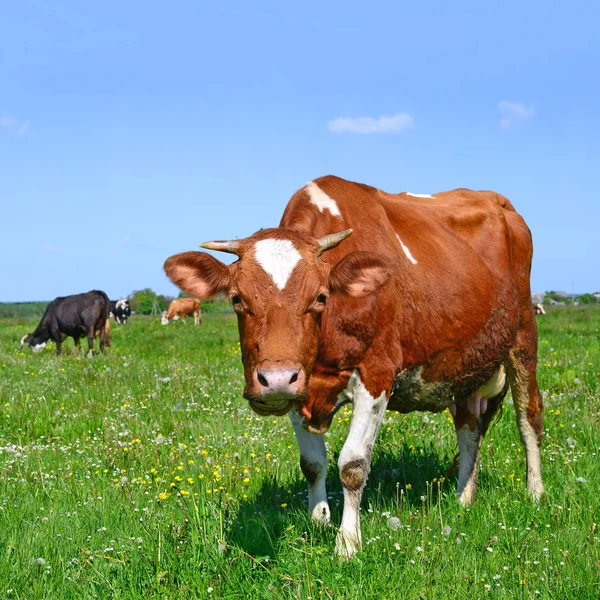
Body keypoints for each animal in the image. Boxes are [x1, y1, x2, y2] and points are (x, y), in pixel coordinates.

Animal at [164, 175, 544, 556]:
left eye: (320, 297)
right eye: (236, 299)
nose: (275, 379)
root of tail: (501, 203)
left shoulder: (376, 375)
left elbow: (353, 465)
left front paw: (347, 543)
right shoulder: (300, 386)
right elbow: (312, 464)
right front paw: (318, 520)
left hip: (523, 337)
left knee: (528, 417)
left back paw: (535, 493)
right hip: (465, 365)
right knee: (469, 429)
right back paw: (463, 497)